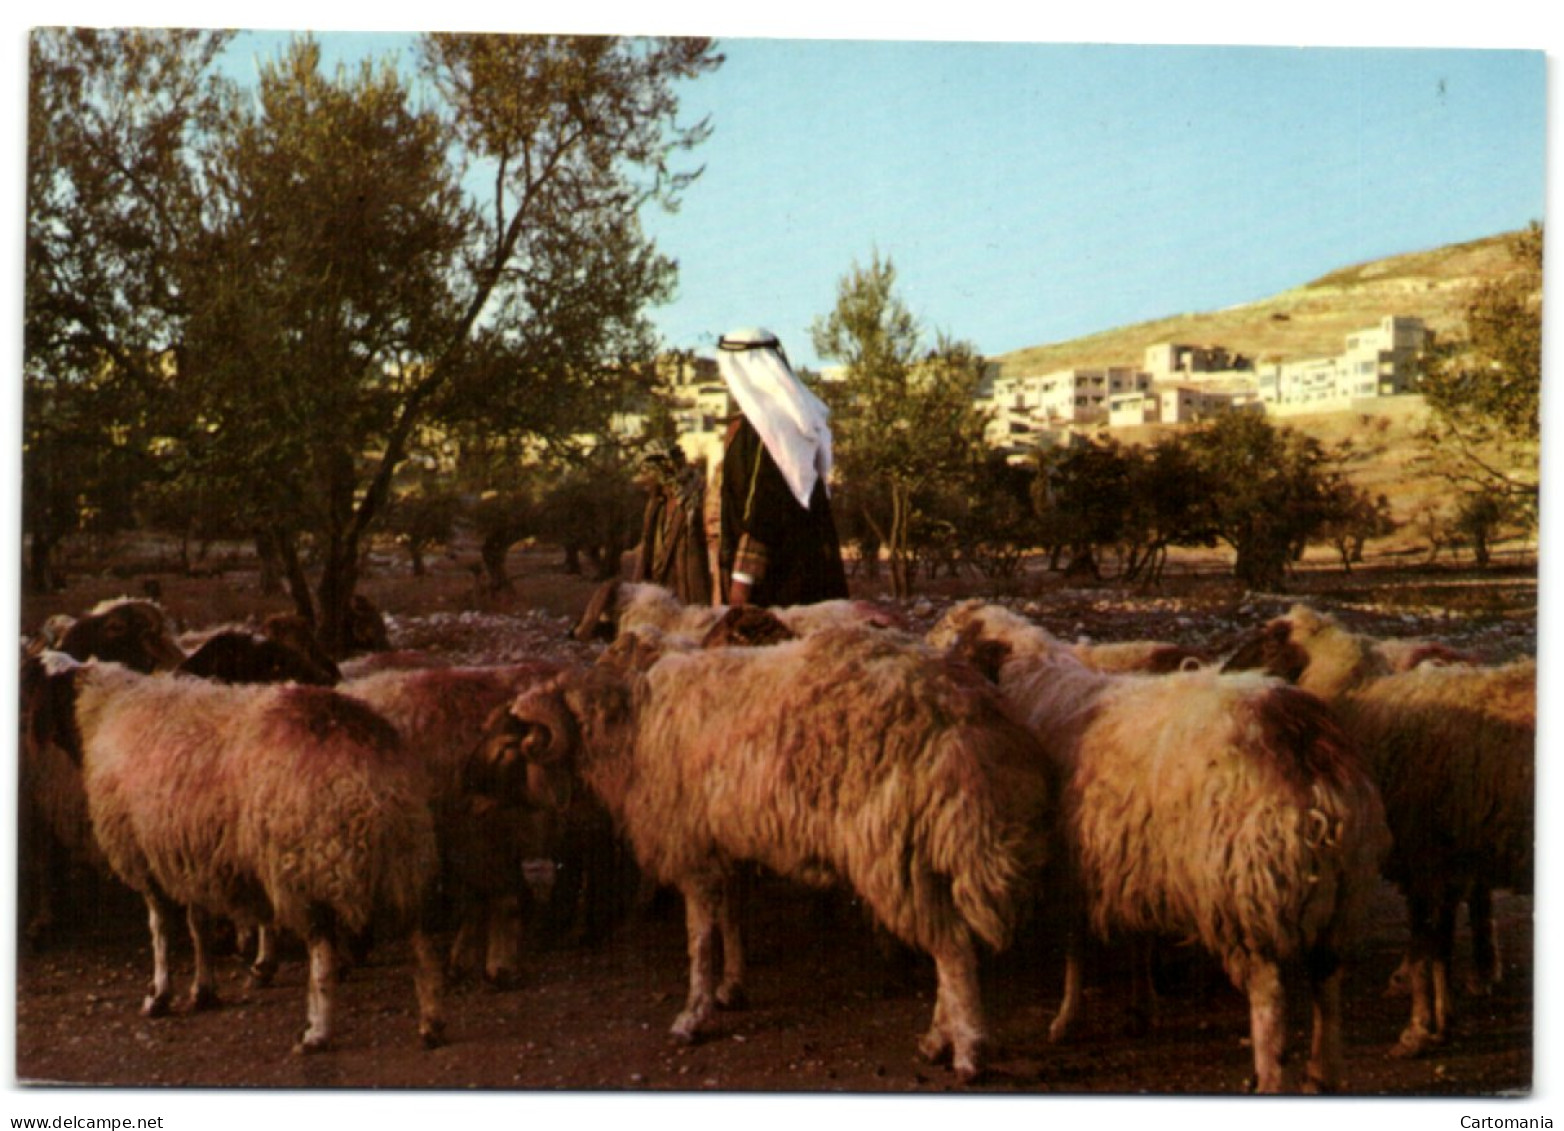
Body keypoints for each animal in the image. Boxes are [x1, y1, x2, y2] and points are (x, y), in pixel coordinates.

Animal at [24, 653, 447, 1051]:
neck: (100, 712)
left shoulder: (144, 854)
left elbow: (160, 930)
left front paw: (159, 995)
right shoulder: (187, 852)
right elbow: (199, 924)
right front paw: (204, 989)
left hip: (305, 860)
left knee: (322, 954)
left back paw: (317, 1032)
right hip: (403, 856)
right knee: (420, 939)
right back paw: (431, 1023)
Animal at [1213, 606, 1532, 1057]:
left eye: (1271, 641)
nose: (1226, 674)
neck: (1359, 702)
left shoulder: (1422, 854)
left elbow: (1426, 944)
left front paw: (1418, 1029)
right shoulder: (1444, 856)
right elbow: (1440, 945)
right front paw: (1443, 1020)